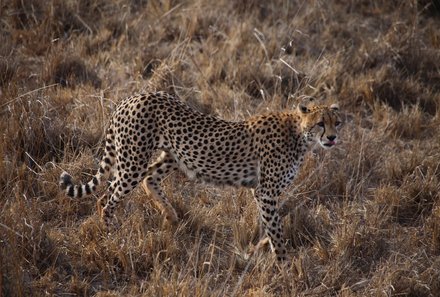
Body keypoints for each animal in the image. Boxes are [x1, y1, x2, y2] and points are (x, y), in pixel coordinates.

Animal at [60, 91, 342, 260]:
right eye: (320, 123)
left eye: (336, 123)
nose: (332, 137)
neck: (300, 134)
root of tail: (133, 97)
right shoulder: (265, 191)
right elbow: (275, 228)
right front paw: (283, 263)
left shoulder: (263, 193)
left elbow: (269, 224)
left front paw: (259, 248)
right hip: (133, 161)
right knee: (107, 198)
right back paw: (112, 237)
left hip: (175, 156)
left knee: (148, 178)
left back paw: (171, 217)